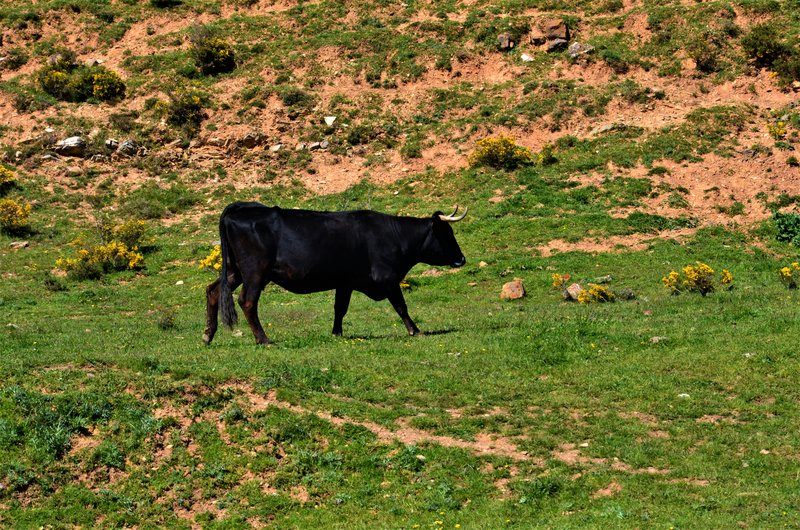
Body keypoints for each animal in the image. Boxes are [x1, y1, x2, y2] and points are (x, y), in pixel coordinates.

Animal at [205, 200, 468, 344]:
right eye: (447, 234)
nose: (462, 259)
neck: (396, 236)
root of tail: (241, 208)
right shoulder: (388, 279)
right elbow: (401, 306)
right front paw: (415, 330)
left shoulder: (345, 282)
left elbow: (340, 308)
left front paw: (336, 333)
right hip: (254, 272)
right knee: (247, 301)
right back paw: (263, 339)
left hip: (236, 271)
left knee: (213, 291)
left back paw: (208, 335)